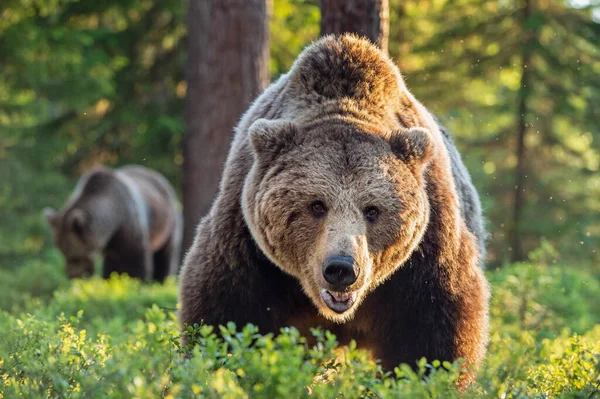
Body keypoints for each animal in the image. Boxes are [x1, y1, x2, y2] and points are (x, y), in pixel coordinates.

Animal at [44, 164, 182, 282]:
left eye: (75, 255)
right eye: (62, 251)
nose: (73, 275)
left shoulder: (129, 225)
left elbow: (136, 259)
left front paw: (134, 280)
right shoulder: (111, 243)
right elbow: (111, 267)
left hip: (168, 222)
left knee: (165, 254)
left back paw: (162, 279)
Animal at [179, 35, 492, 388]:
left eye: (373, 210)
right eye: (316, 205)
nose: (342, 268)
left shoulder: (425, 255)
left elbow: (432, 337)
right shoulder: (248, 249)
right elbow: (226, 317)